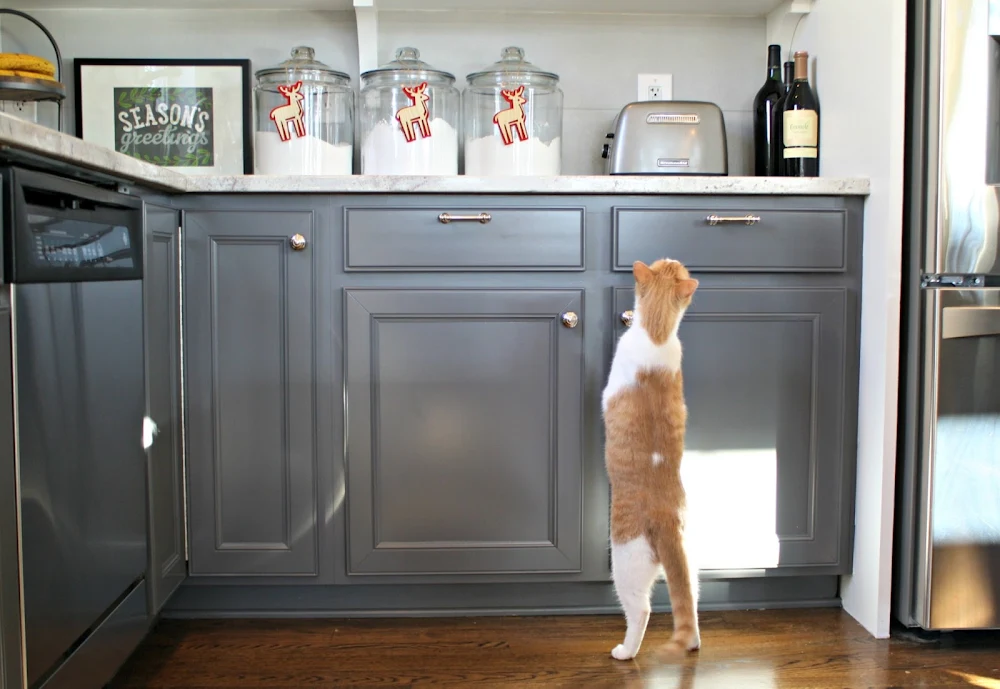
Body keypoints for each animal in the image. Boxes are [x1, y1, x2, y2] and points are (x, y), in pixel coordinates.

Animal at [600, 258, 704, 660]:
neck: (657, 334)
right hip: (692, 564)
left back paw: (624, 652)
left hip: (624, 563)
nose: (672, 258)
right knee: (688, 603)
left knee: (641, 610)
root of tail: (666, 516)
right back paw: (692, 642)